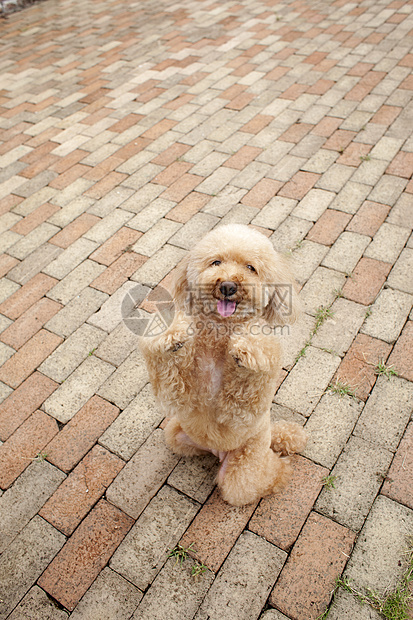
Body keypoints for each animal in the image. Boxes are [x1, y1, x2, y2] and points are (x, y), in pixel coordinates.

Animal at [140, 225, 304, 506]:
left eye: (251, 268)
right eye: (216, 262)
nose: (228, 286)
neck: (219, 330)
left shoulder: (243, 408)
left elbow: (250, 367)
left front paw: (247, 347)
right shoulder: (181, 395)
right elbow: (170, 366)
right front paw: (172, 335)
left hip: (243, 472)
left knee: (273, 474)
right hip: (175, 433)